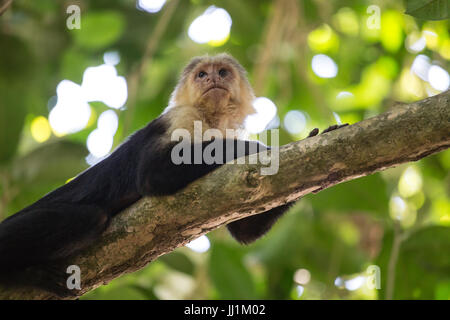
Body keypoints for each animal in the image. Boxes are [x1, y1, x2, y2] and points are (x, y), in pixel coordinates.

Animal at [0, 54, 344, 290]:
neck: (211, 120)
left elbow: (244, 231)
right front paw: (256, 148)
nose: (211, 79)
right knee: (88, 217)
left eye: (222, 73)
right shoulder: (180, 117)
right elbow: (153, 175)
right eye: (202, 74)